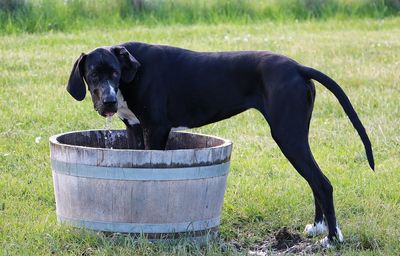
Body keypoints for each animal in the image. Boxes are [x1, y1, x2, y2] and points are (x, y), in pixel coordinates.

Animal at [66, 42, 376, 248]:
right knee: (314, 181)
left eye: (114, 74)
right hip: (297, 134)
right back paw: (318, 228)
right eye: (93, 74)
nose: (108, 102)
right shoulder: (134, 130)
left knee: (322, 183)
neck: (133, 72)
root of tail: (299, 68)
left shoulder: (156, 129)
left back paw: (332, 238)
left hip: (288, 135)